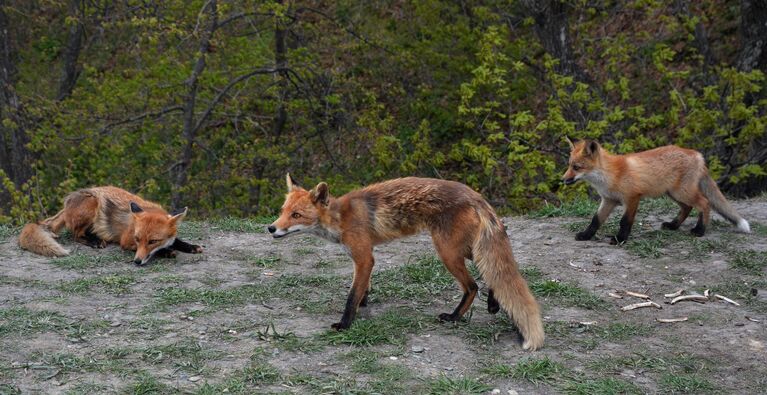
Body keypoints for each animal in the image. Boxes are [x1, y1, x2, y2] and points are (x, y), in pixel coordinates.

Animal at [18, 186, 204, 266]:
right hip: (92, 204)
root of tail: (66, 204)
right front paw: (166, 252)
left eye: (153, 241)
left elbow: (176, 240)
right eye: (137, 239)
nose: (136, 262)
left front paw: (190, 246)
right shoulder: (126, 241)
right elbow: (163, 249)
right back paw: (94, 241)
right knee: (76, 235)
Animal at [270, 175, 544, 352]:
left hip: (447, 252)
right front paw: (364, 303)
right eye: (282, 211)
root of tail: (476, 196)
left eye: (296, 215)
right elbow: (363, 288)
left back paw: (454, 317)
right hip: (464, 248)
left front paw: (345, 324)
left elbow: (351, 295)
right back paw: (493, 302)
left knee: (473, 285)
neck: (340, 218)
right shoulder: (366, 256)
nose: (271, 228)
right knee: (490, 272)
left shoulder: (363, 257)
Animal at [560, 139, 752, 244]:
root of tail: (697, 154)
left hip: (682, 192)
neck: (610, 175)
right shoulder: (609, 200)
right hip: (673, 194)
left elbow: (625, 221)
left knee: (704, 203)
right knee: (687, 208)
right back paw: (673, 225)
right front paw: (586, 235)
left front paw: (620, 239)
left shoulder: (632, 198)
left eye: (576, 167)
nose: (563, 179)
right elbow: (595, 220)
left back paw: (700, 230)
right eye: (568, 165)